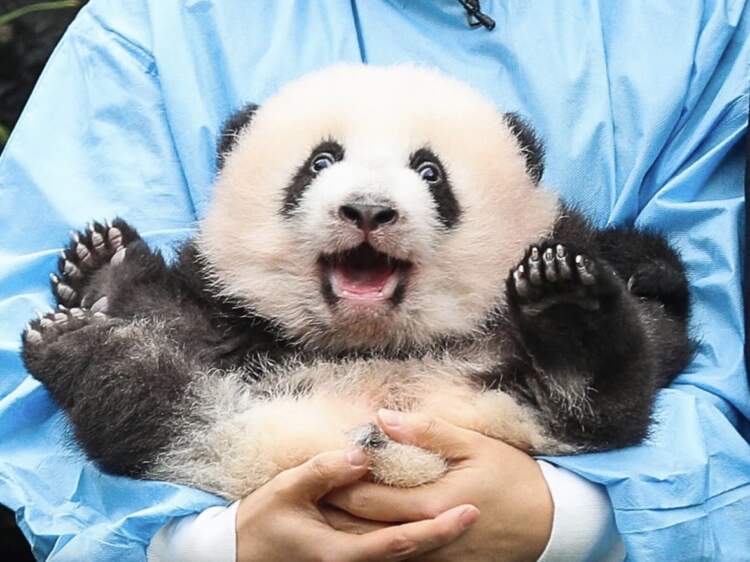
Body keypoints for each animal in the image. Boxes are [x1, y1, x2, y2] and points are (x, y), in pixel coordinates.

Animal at [21, 64, 693, 501]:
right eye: (321, 162)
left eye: (430, 171)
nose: (368, 209)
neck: (369, 341)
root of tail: (405, 463)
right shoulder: (237, 315)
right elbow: (190, 321)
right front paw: (105, 271)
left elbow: (661, 332)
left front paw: (590, 275)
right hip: (233, 438)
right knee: (143, 409)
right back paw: (86, 318)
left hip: (535, 417)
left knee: (603, 392)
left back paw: (565, 311)